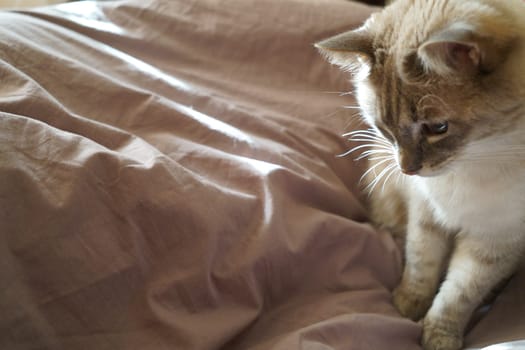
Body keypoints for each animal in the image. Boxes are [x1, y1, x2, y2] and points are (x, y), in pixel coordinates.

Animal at [316, 0, 524, 350]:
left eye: (437, 128)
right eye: (384, 129)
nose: (407, 169)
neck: (479, 158)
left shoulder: (496, 239)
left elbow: (457, 295)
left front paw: (438, 337)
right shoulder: (426, 211)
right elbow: (420, 264)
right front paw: (406, 307)